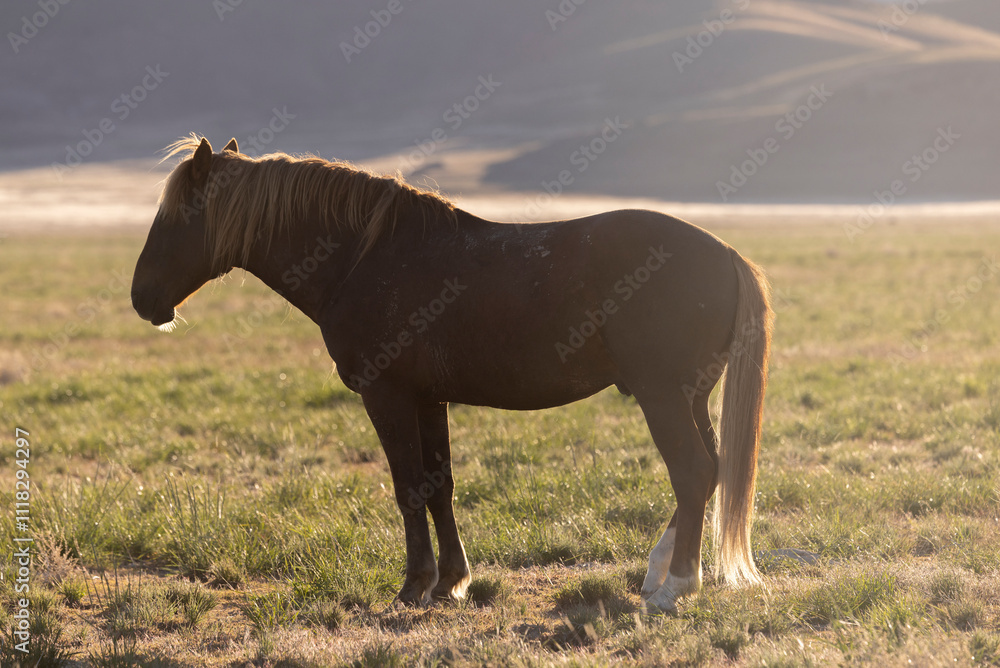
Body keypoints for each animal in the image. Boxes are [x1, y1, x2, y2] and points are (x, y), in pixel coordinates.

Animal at [133, 137, 772, 616]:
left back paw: (675, 586)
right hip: (691, 396)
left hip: (664, 396)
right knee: (711, 471)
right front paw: (451, 583)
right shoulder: (428, 399)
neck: (360, 259)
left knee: (692, 471)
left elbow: (408, 487)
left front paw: (414, 586)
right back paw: (659, 570)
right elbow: (439, 485)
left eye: (178, 216)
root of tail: (726, 254)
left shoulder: (387, 395)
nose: (142, 298)